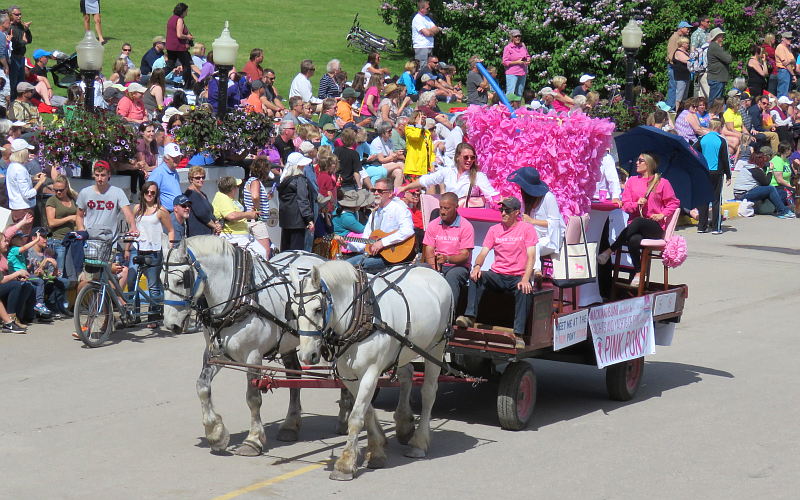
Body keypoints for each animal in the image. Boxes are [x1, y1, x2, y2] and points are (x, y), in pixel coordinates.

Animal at [161, 236, 326, 458]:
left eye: (180, 280)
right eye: (160, 279)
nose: (171, 325)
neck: (239, 296)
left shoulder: (253, 356)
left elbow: (253, 398)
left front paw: (253, 440)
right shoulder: (215, 352)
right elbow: (202, 387)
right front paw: (216, 434)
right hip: (288, 344)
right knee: (294, 376)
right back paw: (290, 425)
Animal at [292, 260, 456, 478]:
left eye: (318, 309)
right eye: (293, 312)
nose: (306, 355)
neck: (361, 315)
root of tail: (430, 270)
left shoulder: (370, 372)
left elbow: (356, 416)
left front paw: (345, 464)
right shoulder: (349, 375)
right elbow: (367, 411)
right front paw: (376, 450)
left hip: (436, 346)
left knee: (429, 392)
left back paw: (419, 443)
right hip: (404, 349)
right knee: (407, 374)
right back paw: (404, 424)